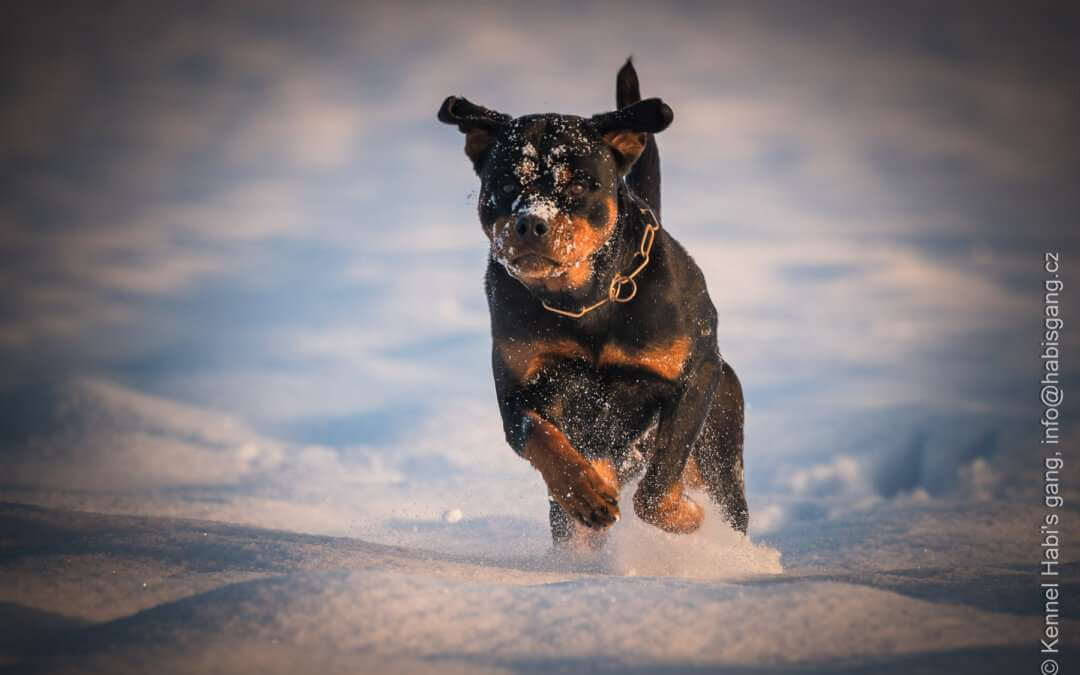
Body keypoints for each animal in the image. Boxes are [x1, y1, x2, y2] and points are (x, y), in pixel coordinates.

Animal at [436, 60, 743, 550]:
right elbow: (537, 435)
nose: (531, 222)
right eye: (506, 182)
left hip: (722, 444)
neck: (584, 302)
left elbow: (660, 479)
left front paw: (686, 517)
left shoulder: (696, 375)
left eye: (579, 184)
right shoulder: (518, 387)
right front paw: (585, 493)